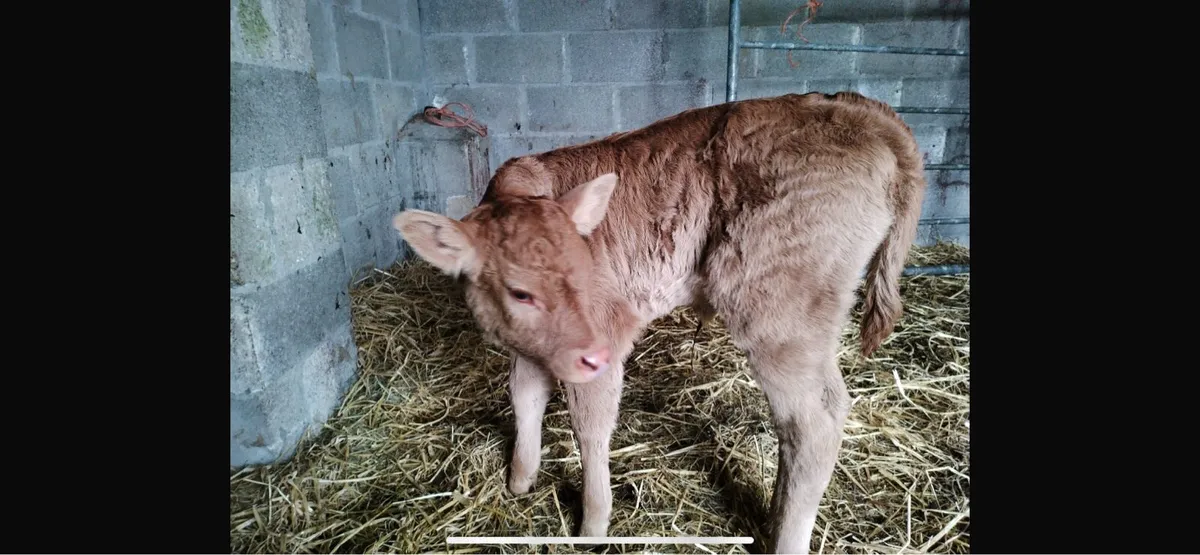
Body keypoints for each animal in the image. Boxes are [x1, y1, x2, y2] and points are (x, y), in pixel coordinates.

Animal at [392, 91, 927, 554]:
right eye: (520, 292)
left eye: (584, 272)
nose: (590, 352)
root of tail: (859, 110)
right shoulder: (533, 347)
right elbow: (524, 395)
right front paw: (520, 479)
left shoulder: (604, 337)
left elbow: (590, 426)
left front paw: (592, 524)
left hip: (780, 310)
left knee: (815, 424)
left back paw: (785, 539)